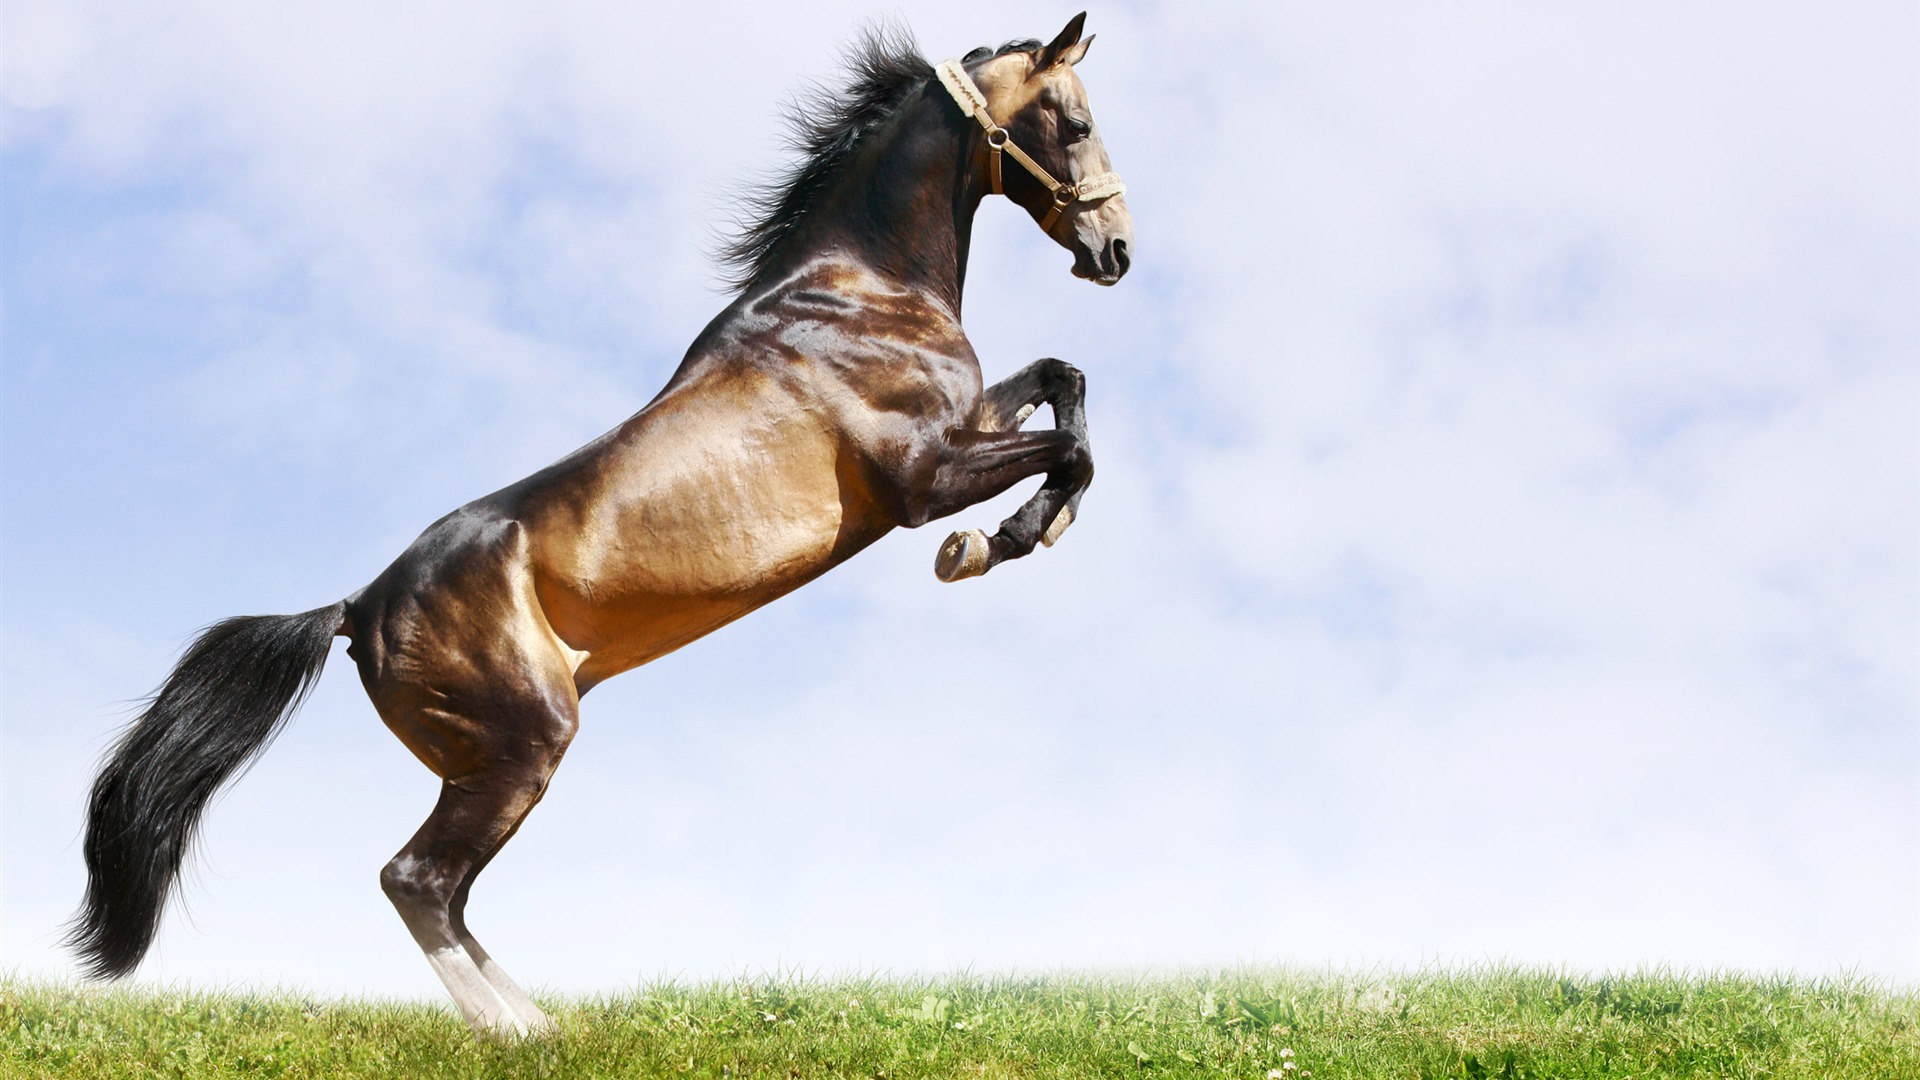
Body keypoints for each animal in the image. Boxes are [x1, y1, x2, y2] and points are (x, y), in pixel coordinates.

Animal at [71, 10, 1121, 1037]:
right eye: (1073, 124)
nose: (1116, 250)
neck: (859, 290)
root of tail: (355, 608)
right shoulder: (920, 479)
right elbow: (1070, 452)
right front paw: (991, 545)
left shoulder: (968, 422)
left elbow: (1065, 384)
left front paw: (1028, 528)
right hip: (524, 744)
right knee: (416, 880)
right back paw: (509, 1033)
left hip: (483, 762)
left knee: (448, 891)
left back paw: (543, 1024)